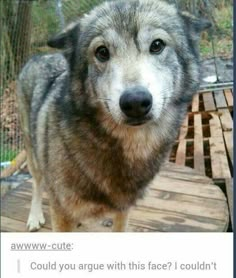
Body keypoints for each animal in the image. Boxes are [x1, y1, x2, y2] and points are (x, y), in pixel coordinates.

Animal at [18, 0, 210, 232]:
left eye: (157, 45)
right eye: (102, 52)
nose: (135, 102)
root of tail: (39, 56)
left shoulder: (123, 209)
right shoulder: (61, 212)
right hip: (33, 155)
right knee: (37, 184)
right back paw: (34, 216)